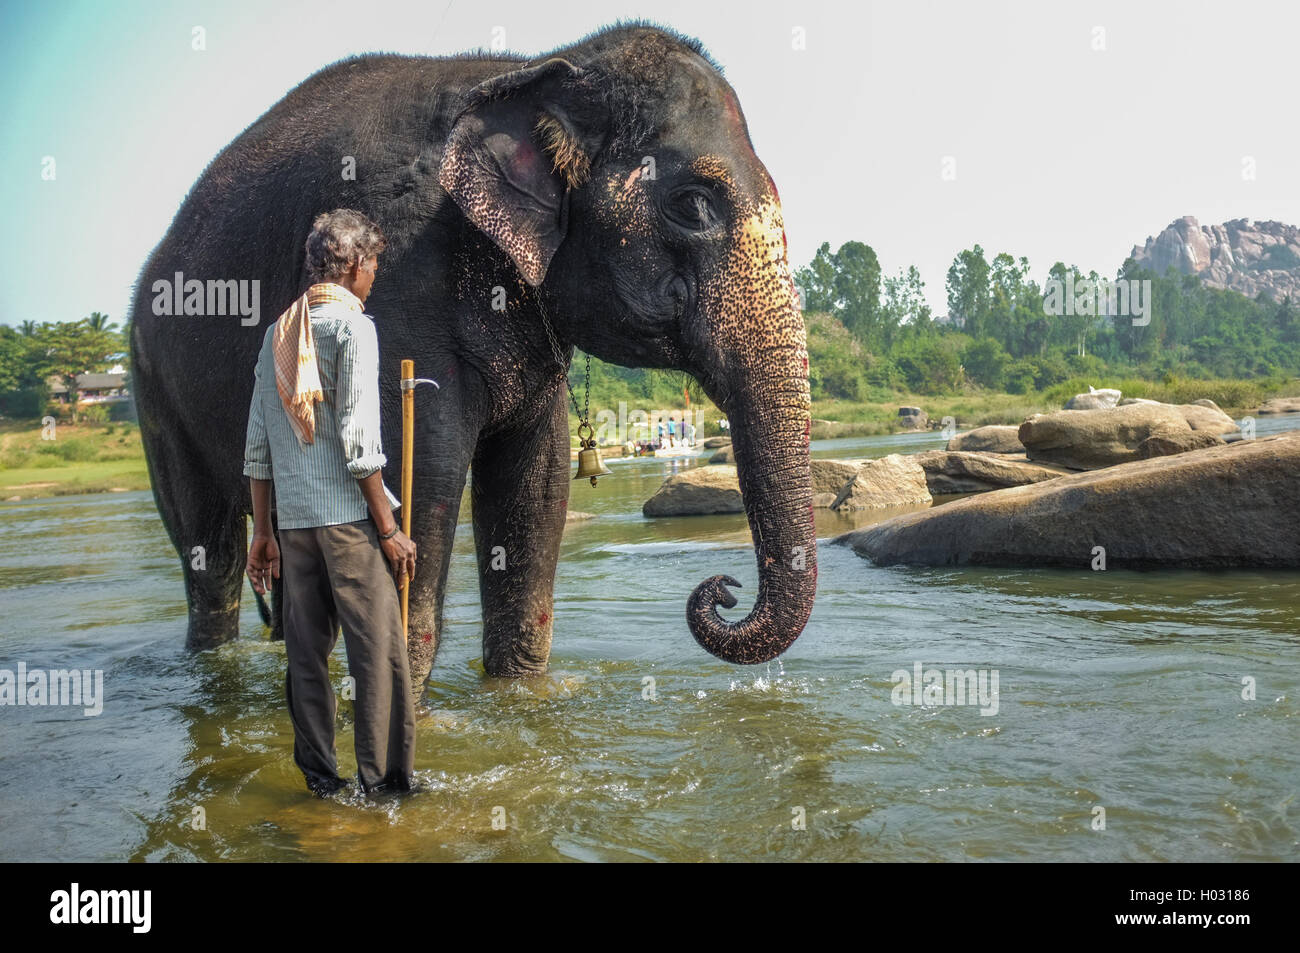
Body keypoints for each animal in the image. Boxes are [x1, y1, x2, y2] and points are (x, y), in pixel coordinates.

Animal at [134, 22, 821, 691]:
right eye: (693, 205)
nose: (722, 589)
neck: (538, 66)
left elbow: (539, 485)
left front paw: (520, 696)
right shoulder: (400, 282)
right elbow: (413, 475)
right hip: (154, 386)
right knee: (209, 550)